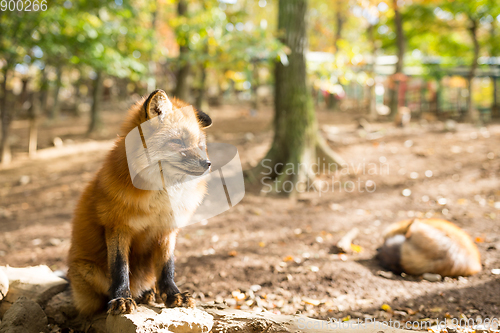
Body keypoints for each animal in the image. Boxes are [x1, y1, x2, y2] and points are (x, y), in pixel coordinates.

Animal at [67, 89, 212, 316]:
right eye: (178, 142)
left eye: (200, 145)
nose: (208, 164)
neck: (159, 200)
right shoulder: (117, 227)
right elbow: (120, 268)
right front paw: (121, 298)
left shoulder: (167, 230)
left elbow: (167, 268)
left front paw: (173, 295)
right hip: (88, 271)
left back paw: (147, 293)